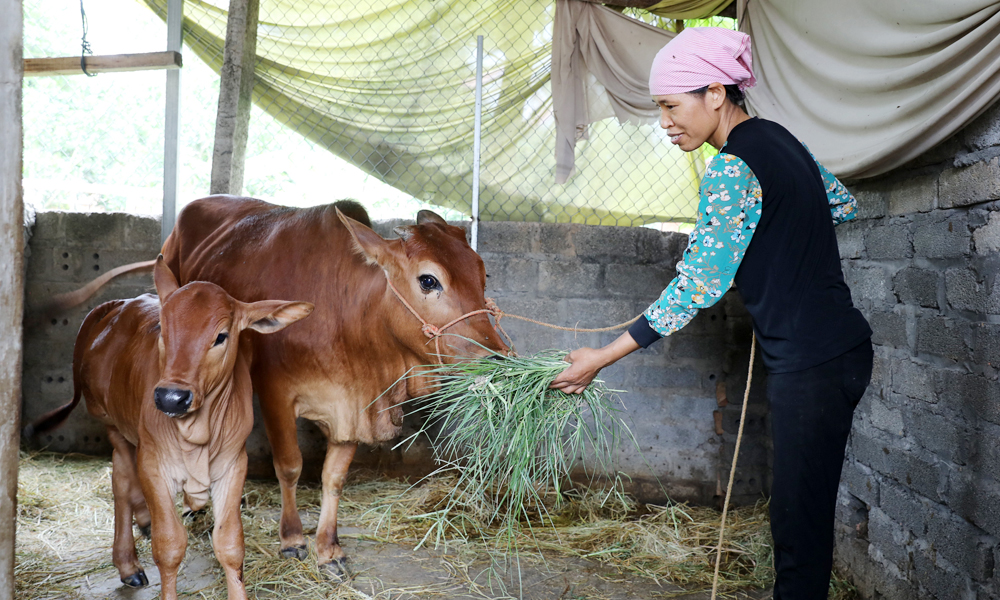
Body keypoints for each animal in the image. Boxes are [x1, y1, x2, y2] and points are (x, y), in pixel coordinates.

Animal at [29, 255, 312, 596]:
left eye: (221, 336)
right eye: (163, 330)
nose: (171, 398)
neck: (197, 432)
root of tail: (114, 306)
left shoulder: (233, 465)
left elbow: (230, 545)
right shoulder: (154, 465)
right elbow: (169, 547)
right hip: (112, 424)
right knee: (121, 481)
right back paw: (128, 563)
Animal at [160, 197, 512, 576]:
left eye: (483, 275)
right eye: (429, 280)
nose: (498, 358)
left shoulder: (352, 405)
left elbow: (334, 477)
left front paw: (329, 549)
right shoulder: (275, 394)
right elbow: (290, 466)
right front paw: (292, 539)